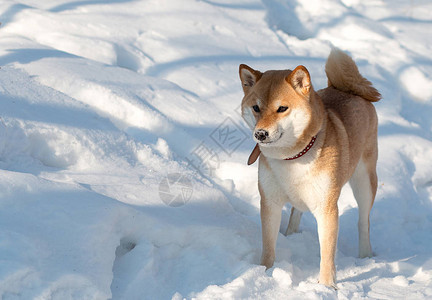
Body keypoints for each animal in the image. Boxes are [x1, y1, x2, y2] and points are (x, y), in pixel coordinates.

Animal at [240, 49, 382, 288]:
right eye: (256, 108)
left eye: (282, 108)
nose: (260, 134)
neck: (291, 158)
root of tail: (350, 89)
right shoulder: (270, 201)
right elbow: (268, 247)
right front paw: (265, 273)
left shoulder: (327, 208)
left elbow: (327, 254)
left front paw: (326, 287)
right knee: (296, 210)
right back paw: (291, 235)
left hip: (364, 181)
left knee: (364, 221)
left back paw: (365, 255)